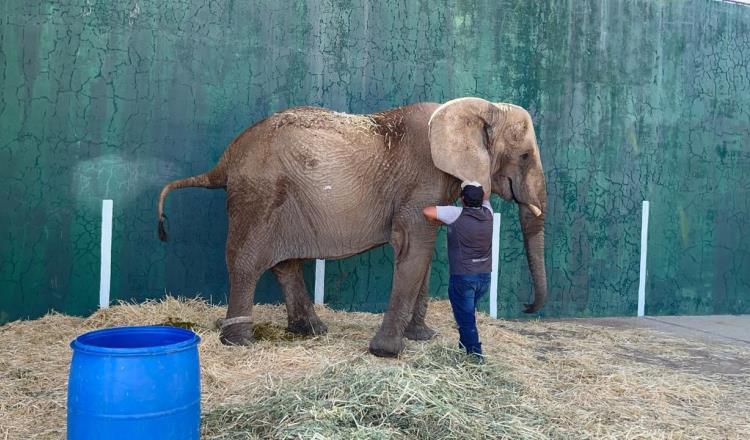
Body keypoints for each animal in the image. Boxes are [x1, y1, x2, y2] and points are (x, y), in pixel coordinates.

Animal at [157, 97, 548, 358]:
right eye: (525, 156)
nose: (528, 307)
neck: (477, 107)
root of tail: (224, 161)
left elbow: (422, 252)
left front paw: (423, 337)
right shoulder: (421, 179)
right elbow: (413, 247)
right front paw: (387, 352)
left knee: (285, 263)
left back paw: (310, 331)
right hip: (258, 195)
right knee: (246, 261)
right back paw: (239, 341)